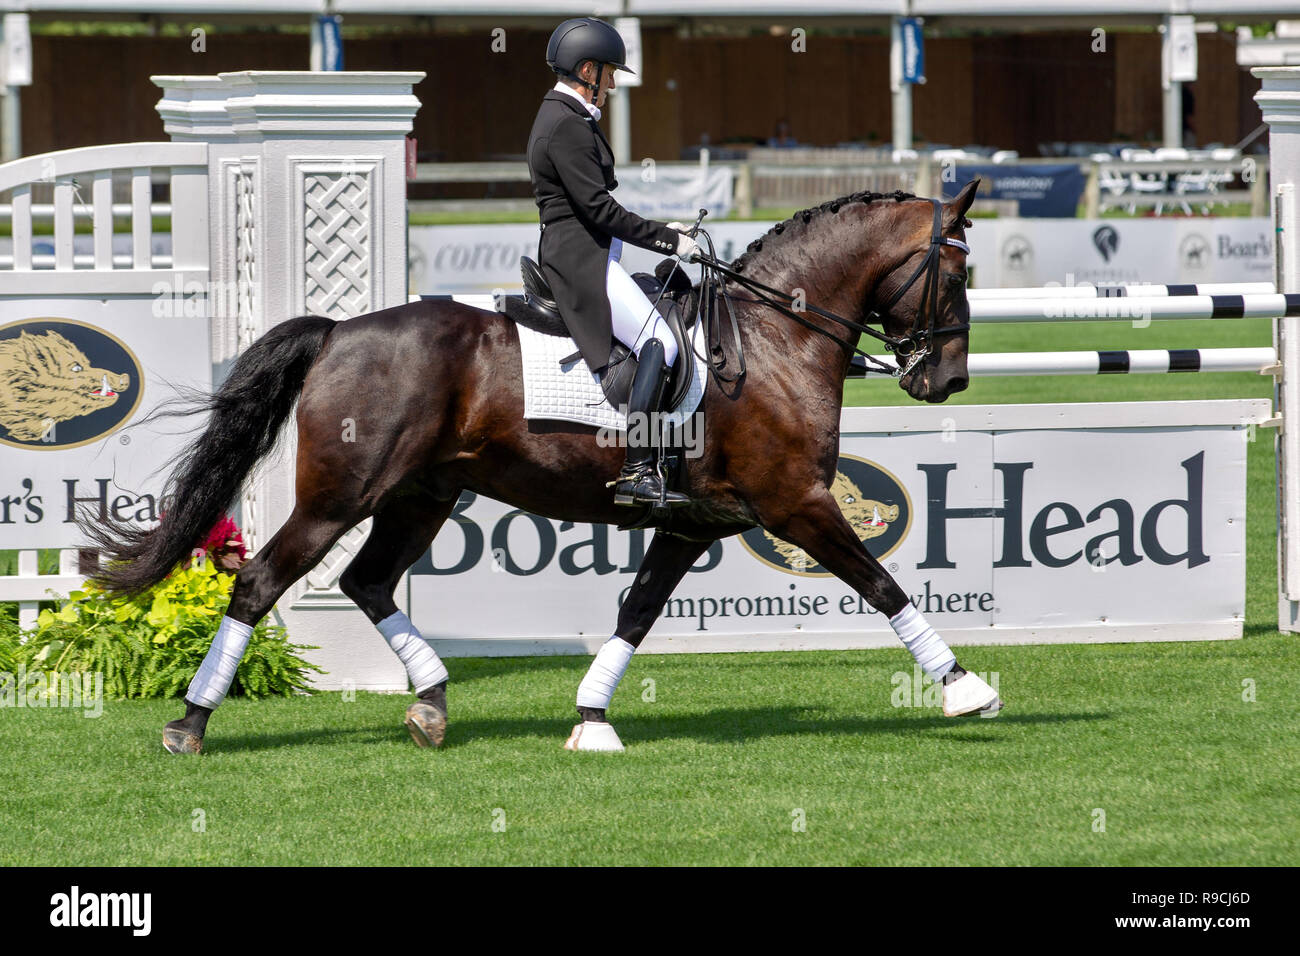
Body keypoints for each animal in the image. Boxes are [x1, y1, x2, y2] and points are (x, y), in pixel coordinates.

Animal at [89, 179, 982, 754]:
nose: (947, 383)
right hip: (341, 494)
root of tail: (340, 331)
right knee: (262, 580)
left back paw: (432, 705)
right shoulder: (798, 502)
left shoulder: (696, 524)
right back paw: (191, 722)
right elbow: (883, 584)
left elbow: (637, 612)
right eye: (958, 271)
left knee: (367, 582)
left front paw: (591, 719)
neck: (771, 338)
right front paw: (964, 687)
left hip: (421, 494)